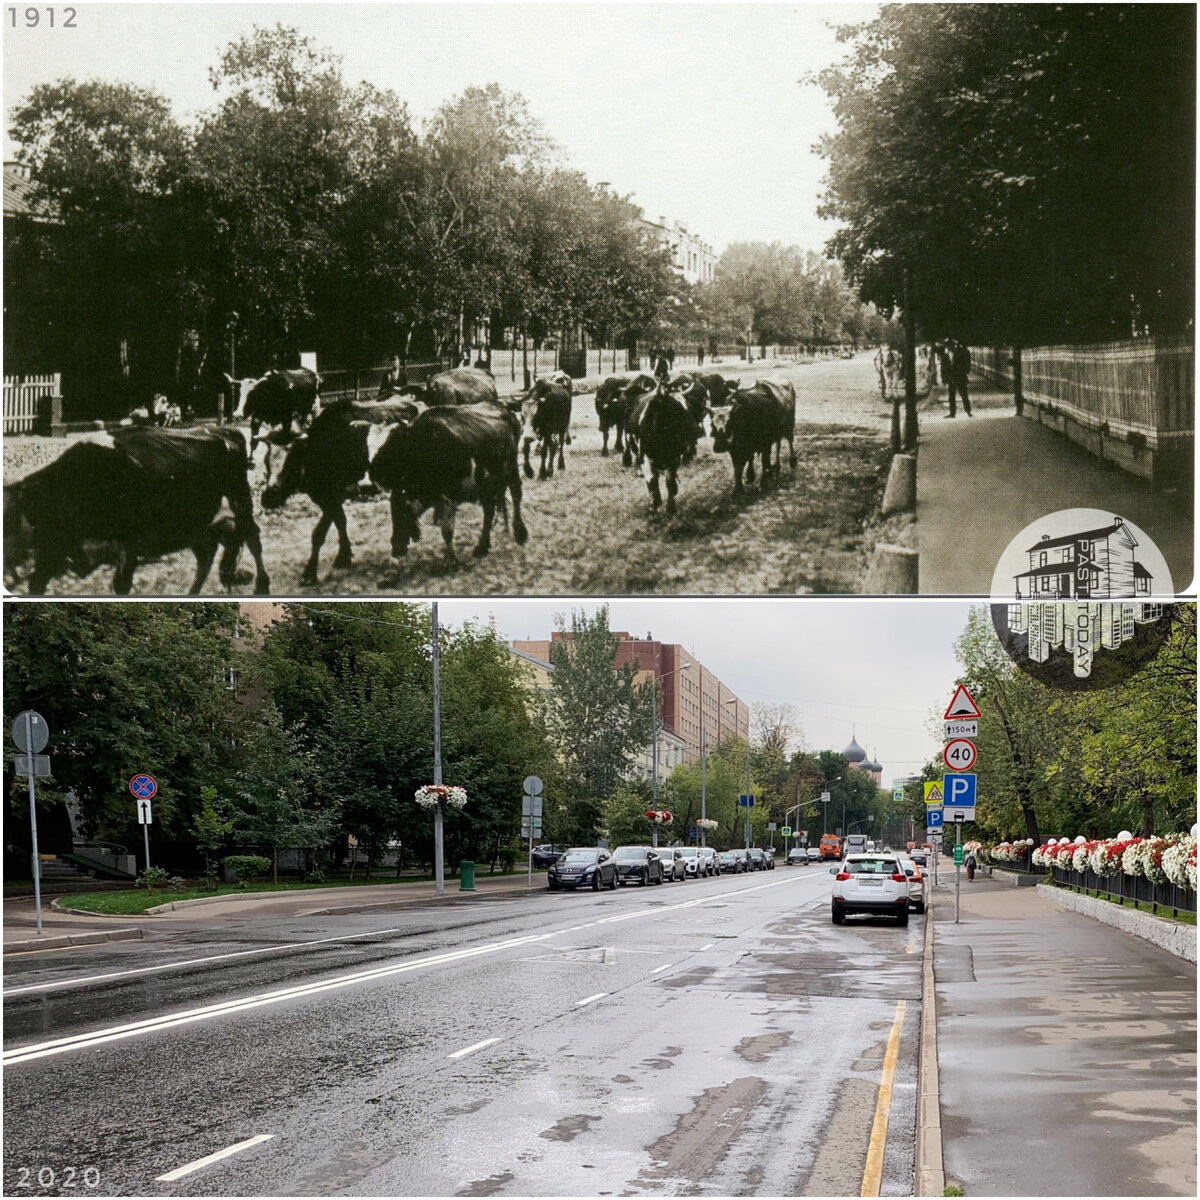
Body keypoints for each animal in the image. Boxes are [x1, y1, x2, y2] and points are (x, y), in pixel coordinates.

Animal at [4, 427, 270, 595]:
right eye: (32, 517)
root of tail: (225, 432)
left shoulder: (127, 544)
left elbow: (121, 583)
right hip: (198, 525)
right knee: (212, 552)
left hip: (240, 500)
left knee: (252, 537)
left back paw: (261, 585)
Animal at [367, 403, 528, 566]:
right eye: (392, 514)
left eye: (403, 514)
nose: (396, 550)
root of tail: (506, 411)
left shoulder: (447, 498)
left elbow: (447, 530)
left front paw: (451, 560)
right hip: (489, 481)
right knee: (491, 507)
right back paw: (489, 541)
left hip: (511, 469)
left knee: (515, 495)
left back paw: (519, 533)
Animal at [628, 384, 696, 516]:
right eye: (682, 408)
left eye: (689, 406)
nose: (695, 429)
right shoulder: (651, 458)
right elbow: (659, 482)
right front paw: (661, 508)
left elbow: (663, 481)